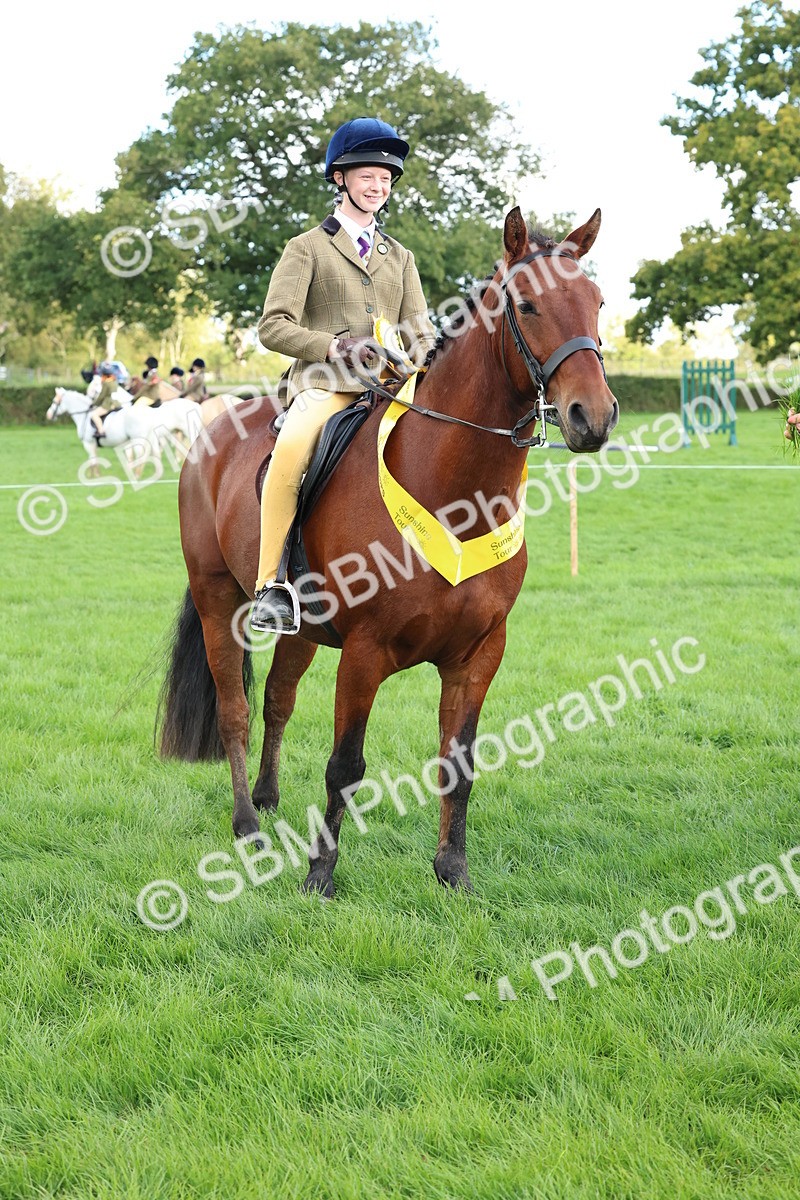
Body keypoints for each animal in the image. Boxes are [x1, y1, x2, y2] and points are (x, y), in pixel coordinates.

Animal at [157, 207, 619, 898]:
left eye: (597, 301)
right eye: (529, 305)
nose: (594, 416)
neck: (453, 493)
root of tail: (213, 427)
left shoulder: (478, 655)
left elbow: (458, 761)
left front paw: (452, 869)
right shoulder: (366, 652)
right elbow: (345, 764)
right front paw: (320, 874)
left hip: (302, 628)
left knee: (278, 699)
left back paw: (267, 798)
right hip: (219, 601)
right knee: (235, 709)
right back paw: (248, 826)